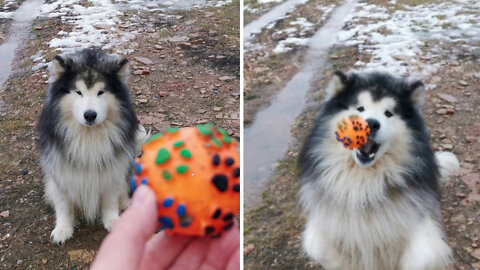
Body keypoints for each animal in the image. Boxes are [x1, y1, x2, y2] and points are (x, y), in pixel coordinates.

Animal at [38, 49, 147, 245]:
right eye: (78, 92)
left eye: (101, 92)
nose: (90, 115)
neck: (89, 136)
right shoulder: (61, 172)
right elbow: (64, 205)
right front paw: (63, 229)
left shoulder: (112, 170)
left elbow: (110, 199)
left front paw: (113, 220)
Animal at [298, 70, 460, 268]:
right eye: (359, 108)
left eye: (388, 113)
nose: (371, 123)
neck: (365, 181)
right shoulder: (328, 223)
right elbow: (318, 248)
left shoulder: (421, 224)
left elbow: (421, 258)